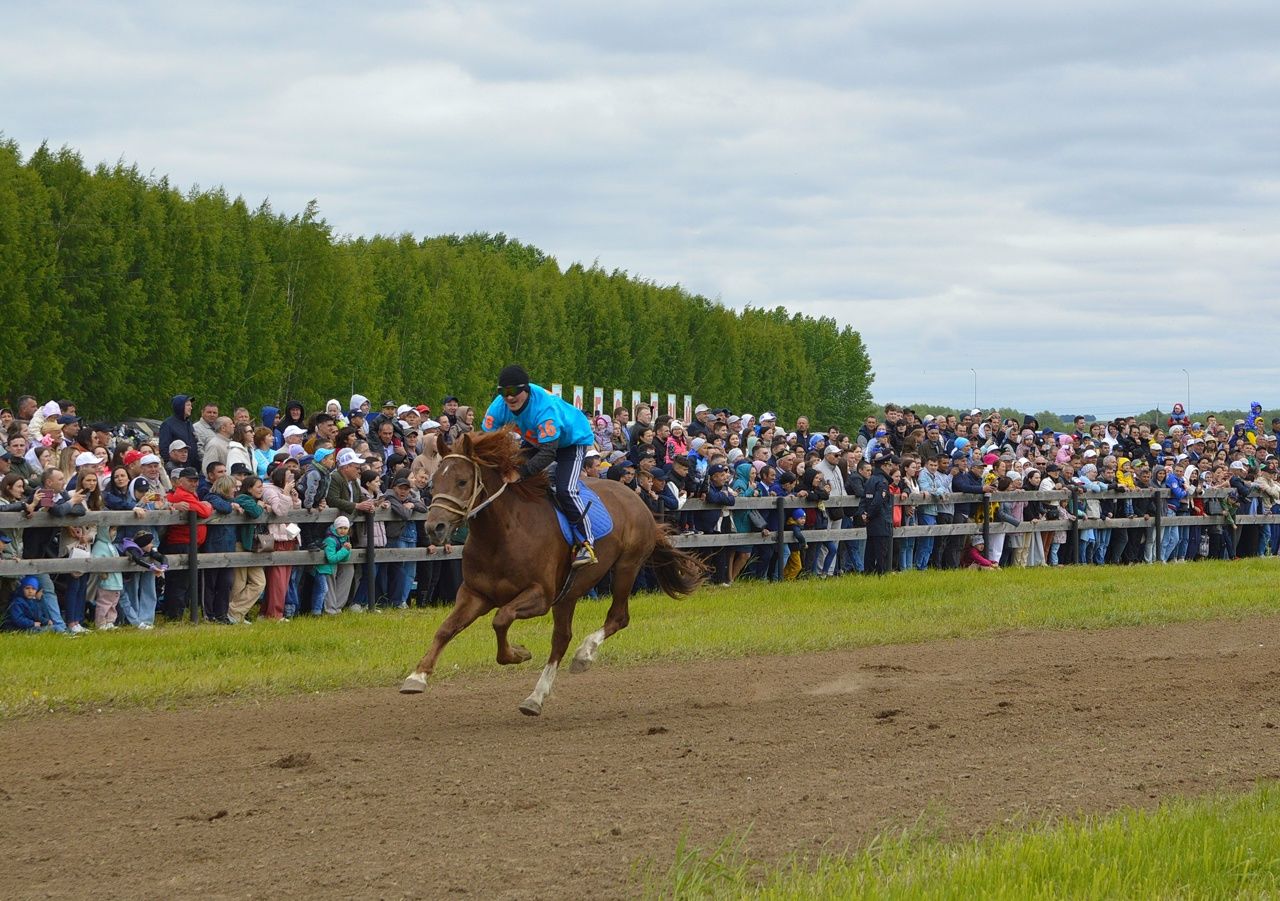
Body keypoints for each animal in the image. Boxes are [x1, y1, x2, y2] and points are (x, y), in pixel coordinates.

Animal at [399, 424, 706, 716]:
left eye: (462, 481)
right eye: (434, 481)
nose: (434, 527)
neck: (501, 534)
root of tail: (636, 498)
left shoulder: (541, 596)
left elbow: (501, 619)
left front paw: (518, 653)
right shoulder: (475, 593)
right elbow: (446, 628)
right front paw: (417, 676)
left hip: (625, 568)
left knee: (617, 618)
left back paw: (583, 656)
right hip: (570, 592)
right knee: (562, 638)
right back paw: (536, 697)